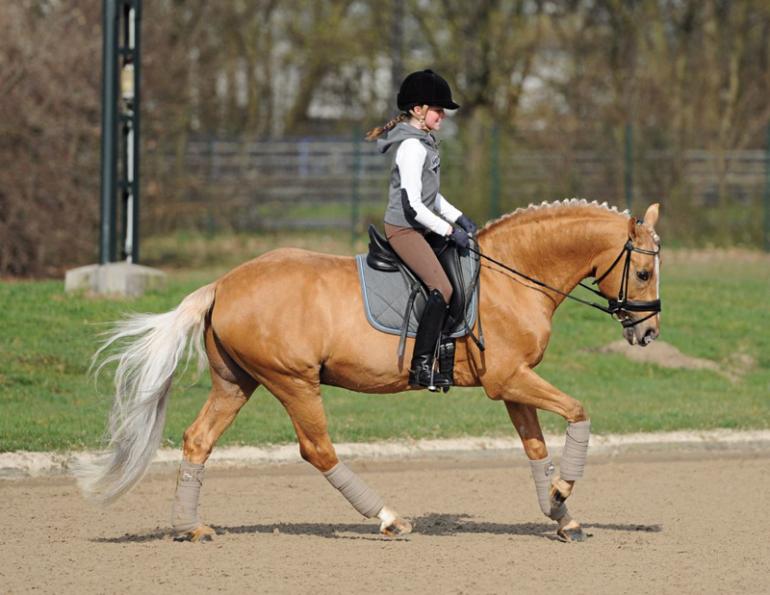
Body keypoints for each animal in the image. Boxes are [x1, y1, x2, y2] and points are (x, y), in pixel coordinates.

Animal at [77, 199, 662, 543]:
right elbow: (579, 412)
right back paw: (389, 519)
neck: (515, 277)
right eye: (644, 271)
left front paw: (561, 513)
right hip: (294, 382)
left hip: (236, 383)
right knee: (318, 450)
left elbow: (535, 447)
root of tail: (223, 283)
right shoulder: (508, 380)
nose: (648, 333)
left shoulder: (515, 383)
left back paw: (191, 527)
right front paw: (563, 492)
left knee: (198, 439)